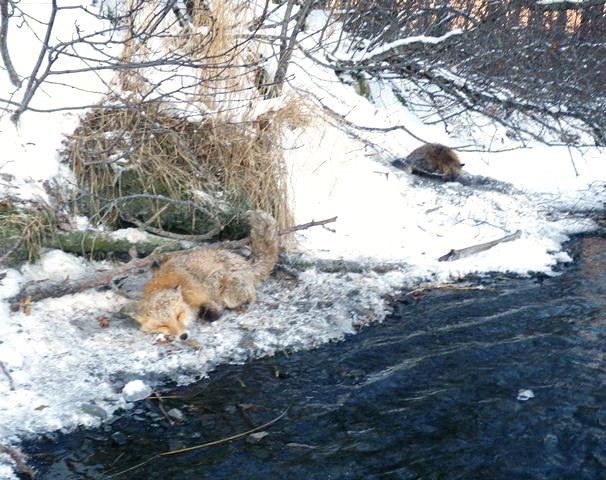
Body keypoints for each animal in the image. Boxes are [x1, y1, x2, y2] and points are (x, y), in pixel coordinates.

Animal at [132, 210, 278, 340]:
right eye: (163, 326)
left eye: (178, 316)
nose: (183, 336)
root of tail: (245, 263)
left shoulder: (207, 292)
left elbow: (213, 310)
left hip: (227, 289)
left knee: (249, 296)